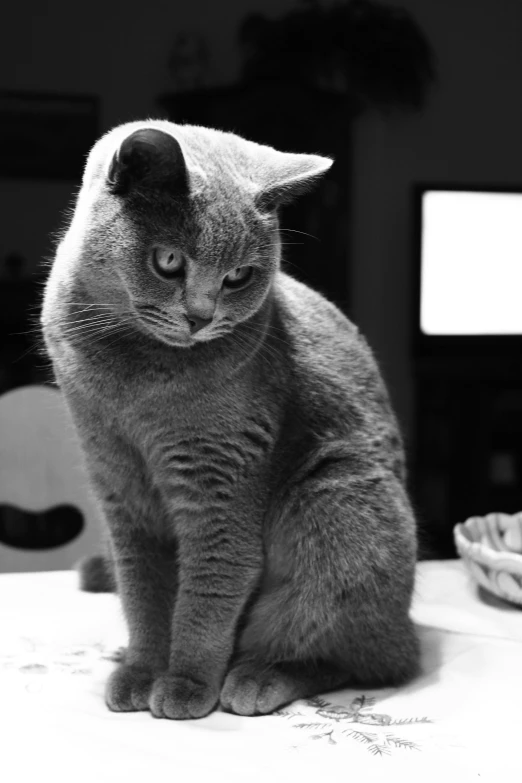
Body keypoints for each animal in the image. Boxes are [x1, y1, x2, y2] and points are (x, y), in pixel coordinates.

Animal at [42, 119, 420, 720]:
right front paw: (142, 671)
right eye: (169, 261)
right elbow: (144, 590)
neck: (134, 376)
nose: (200, 317)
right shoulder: (117, 479)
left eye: (239, 276)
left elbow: (212, 582)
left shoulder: (220, 476)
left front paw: (185, 684)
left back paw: (258, 677)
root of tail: (410, 625)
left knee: (364, 658)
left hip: (337, 500)